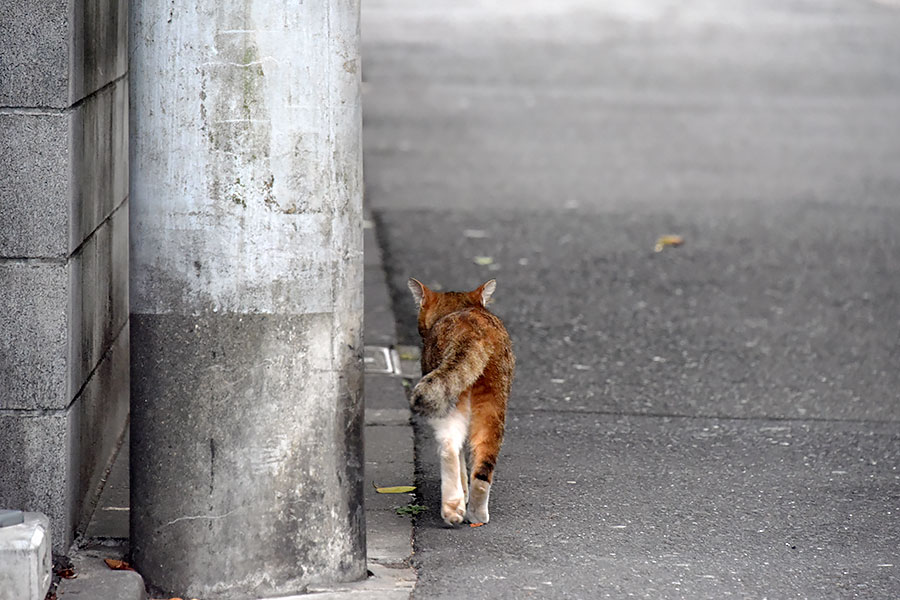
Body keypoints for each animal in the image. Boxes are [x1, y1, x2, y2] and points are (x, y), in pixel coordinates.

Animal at [406, 276, 512, 524]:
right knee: (483, 463)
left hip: (453, 399)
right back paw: (474, 512)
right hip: (493, 400)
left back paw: (454, 508)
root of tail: (471, 330)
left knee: (449, 445)